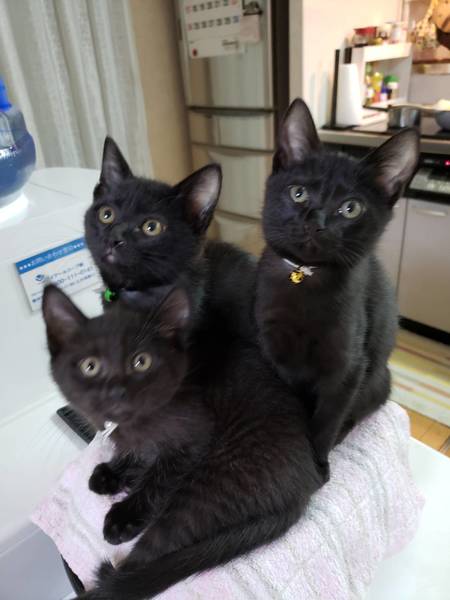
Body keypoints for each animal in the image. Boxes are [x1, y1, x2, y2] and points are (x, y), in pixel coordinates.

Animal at [42, 284, 323, 600]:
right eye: (89, 366)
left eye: (141, 362)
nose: (116, 392)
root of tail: (304, 487)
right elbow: (136, 452)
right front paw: (113, 473)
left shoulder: (193, 436)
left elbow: (158, 478)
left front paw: (127, 512)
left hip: (209, 487)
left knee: (153, 554)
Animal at [255, 98, 420, 476]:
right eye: (298, 193)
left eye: (351, 208)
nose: (315, 221)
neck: (305, 276)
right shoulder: (274, 351)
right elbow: (295, 400)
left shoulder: (348, 368)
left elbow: (328, 418)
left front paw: (318, 464)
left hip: (378, 380)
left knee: (357, 411)